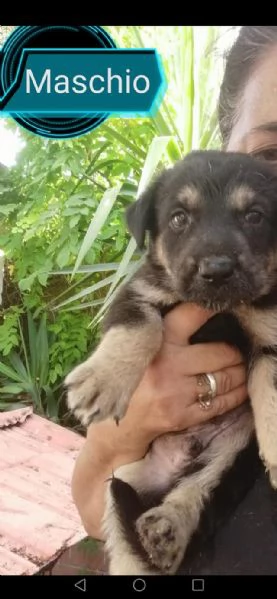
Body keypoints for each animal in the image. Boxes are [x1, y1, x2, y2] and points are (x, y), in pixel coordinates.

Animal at [65, 151, 277, 576]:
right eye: (179, 218)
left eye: (255, 216)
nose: (217, 270)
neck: (218, 309)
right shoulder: (139, 295)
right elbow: (138, 331)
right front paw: (102, 381)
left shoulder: (269, 336)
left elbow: (272, 392)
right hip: (119, 483)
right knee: (126, 547)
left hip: (233, 450)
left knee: (199, 487)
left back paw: (169, 526)